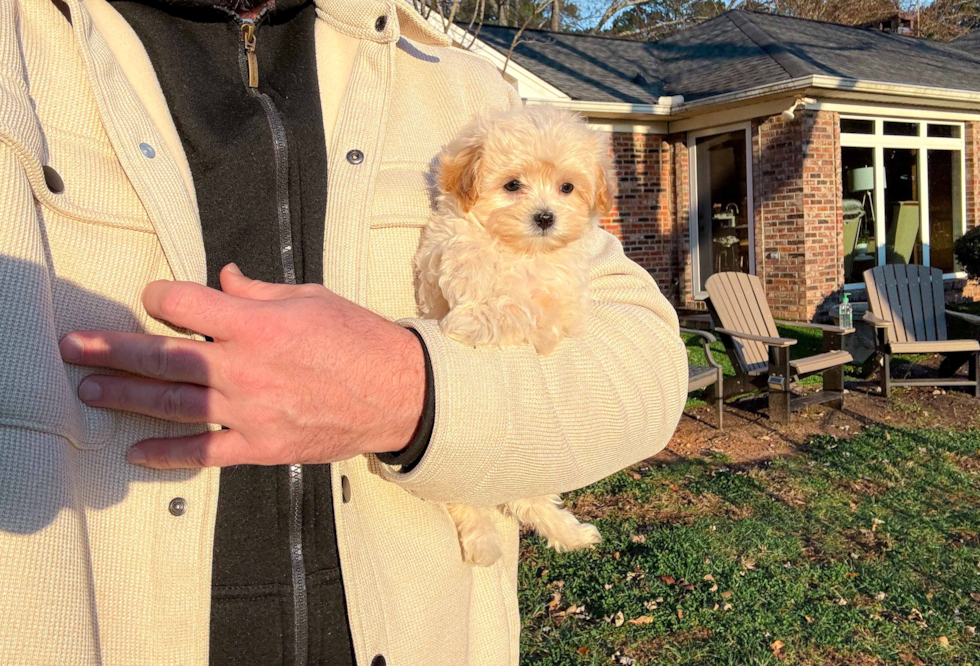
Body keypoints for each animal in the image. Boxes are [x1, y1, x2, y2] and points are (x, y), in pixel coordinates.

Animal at [416, 105, 620, 564]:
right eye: (512, 185)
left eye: (567, 187)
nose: (545, 217)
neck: (520, 250)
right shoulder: (446, 245)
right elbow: (466, 251)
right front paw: (472, 288)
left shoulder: (559, 308)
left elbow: (522, 311)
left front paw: (472, 320)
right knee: (467, 499)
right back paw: (484, 542)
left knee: (530, 499)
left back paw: (571, 534)